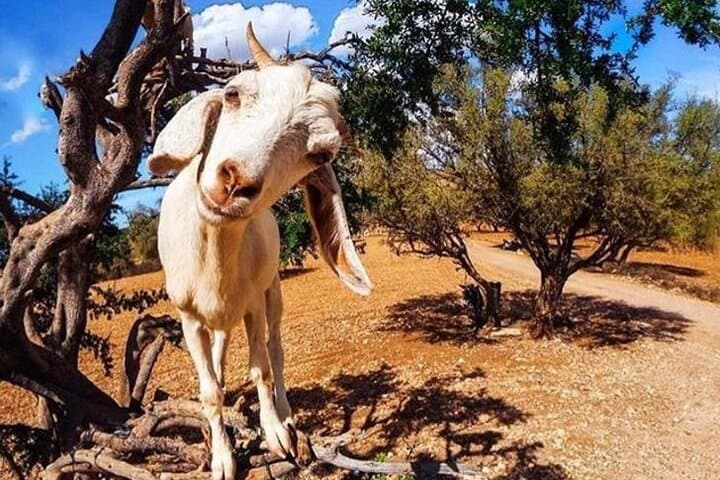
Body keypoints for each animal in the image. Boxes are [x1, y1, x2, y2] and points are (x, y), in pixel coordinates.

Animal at [146, 23, 372, 480]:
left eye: (320, 154)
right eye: (232, 94)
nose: (234, 181)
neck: (213, 260)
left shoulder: (253, 303)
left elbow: (262, 367)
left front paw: (276, 433)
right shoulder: (188, 317)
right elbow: (210, 389)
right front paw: (221, 458)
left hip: (273, 293)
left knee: (276, 351)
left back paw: (285, 417)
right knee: (222, 355)